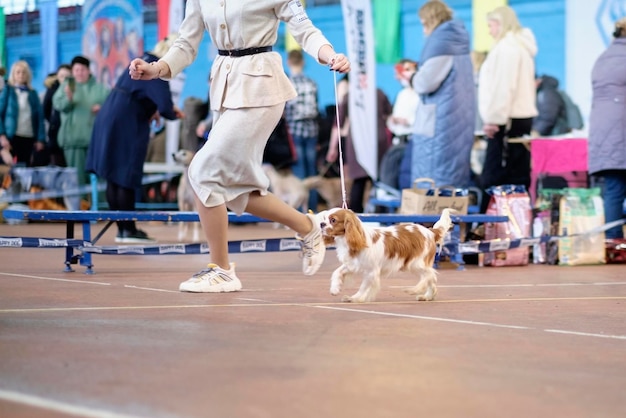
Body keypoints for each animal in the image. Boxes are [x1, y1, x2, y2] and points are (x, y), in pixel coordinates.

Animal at [320, 207, 450, 302]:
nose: (321, 224)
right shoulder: (353, 264)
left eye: (333, 220)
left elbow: (363, 287)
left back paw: (414, 290)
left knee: (429, 275)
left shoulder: (371, 271)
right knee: (431, 278)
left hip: (415, 263)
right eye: (324, 218)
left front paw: (355, 298)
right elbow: (337, 272)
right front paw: (335, 288)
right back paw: (427, 296)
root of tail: (430, 231)